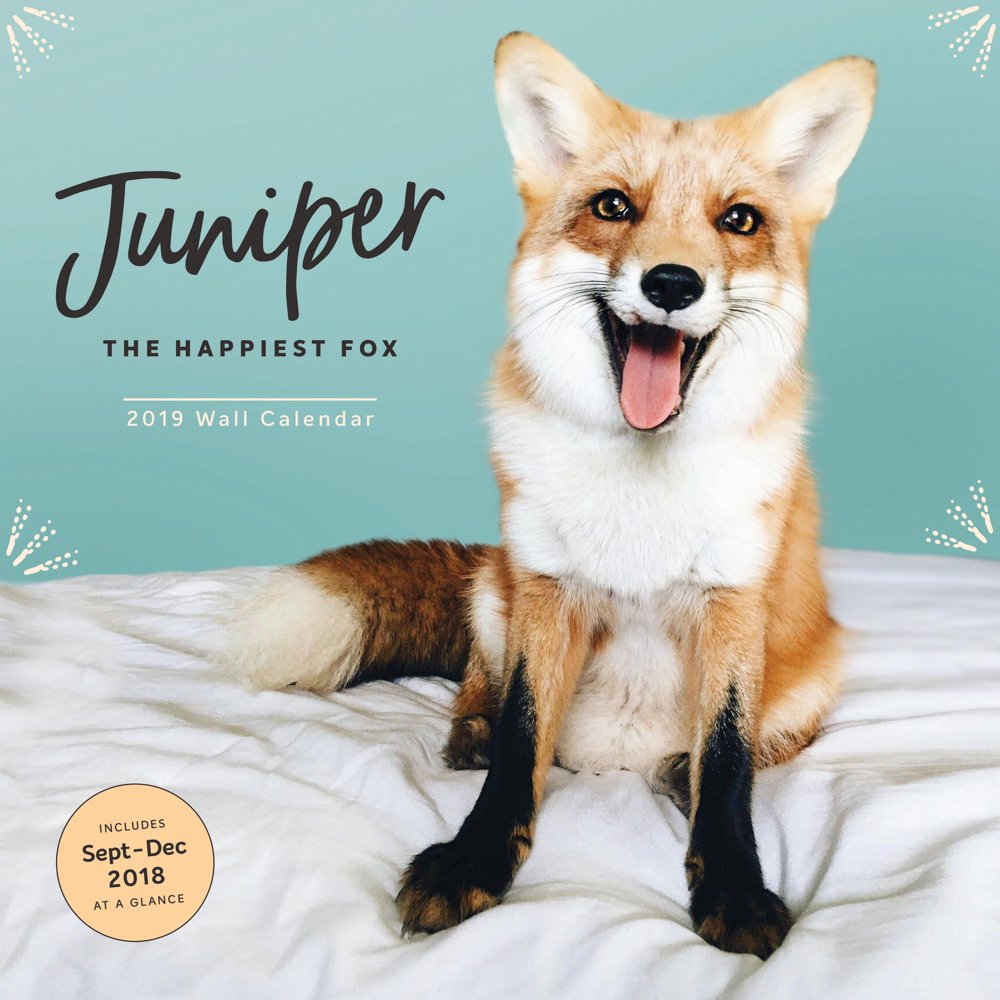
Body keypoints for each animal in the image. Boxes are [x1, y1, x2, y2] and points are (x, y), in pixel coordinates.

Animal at [229, 33, 876, 959]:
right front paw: (474, 859)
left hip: (815, 670)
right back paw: (468, 732)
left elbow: (728, 763)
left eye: (740, 220)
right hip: (494, 587)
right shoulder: (545, 588)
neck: (641, 486)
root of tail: (613, 762)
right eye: (613, 206)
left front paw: (733, 885)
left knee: (765, 744)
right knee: (478, 681)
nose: (672, 284)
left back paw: (674, 772)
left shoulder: (733, 602)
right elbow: (520, 741)